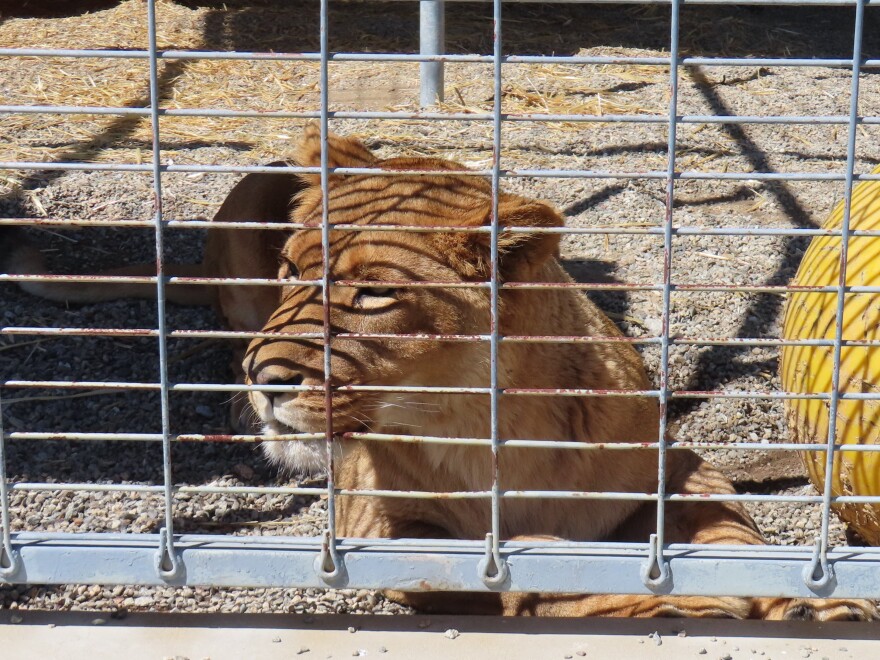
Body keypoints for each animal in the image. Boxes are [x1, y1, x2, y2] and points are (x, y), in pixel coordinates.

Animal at [5, 124, 876, 620]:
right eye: (293, 271)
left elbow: (733, 533)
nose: (263, 376)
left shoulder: (681, 463)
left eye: (372, 295)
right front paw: (677, 603)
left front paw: (810, 607)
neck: (490, 424)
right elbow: (534, 565)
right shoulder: (382, 531)